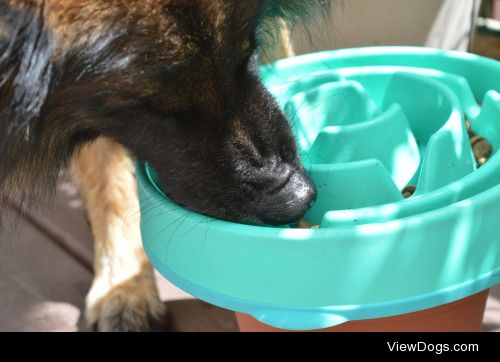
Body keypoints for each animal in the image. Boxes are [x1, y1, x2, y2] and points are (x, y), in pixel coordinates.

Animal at [0, 0, 332, 330]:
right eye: (150, 109)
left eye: (247, 53)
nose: (299, 198)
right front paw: (123, 284)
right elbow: (107, 182)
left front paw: (125, 284)